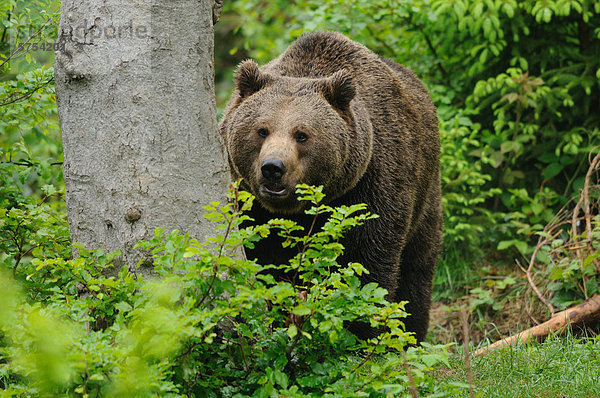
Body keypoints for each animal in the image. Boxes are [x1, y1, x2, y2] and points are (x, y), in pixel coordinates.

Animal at [218, 31, 442, 342]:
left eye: (302, 134)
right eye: (261, 130)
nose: (273, 168)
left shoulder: (371, 187)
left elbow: (367, 266)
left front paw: (361, 334)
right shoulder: (251, 203)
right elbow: (261, 260)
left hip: (426, 191)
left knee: (417, 266)